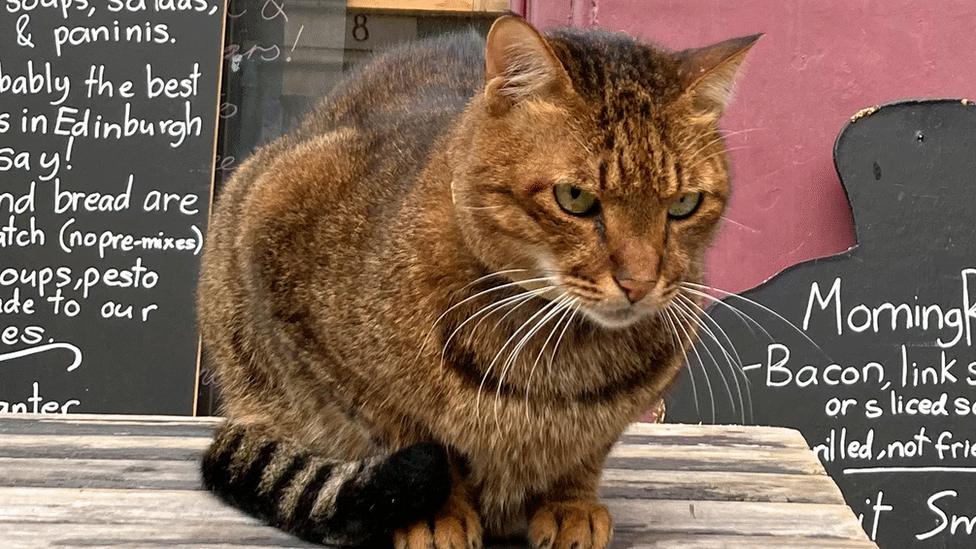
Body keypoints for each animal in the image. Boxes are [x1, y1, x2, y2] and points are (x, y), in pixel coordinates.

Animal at [198, 15, 760, 544]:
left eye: (684, 204)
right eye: (575, 198)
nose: (639, 283)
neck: (562, 362)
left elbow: (586, 452)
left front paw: (570, 503)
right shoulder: (288, 266)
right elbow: (407, 430)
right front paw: (439, 512)